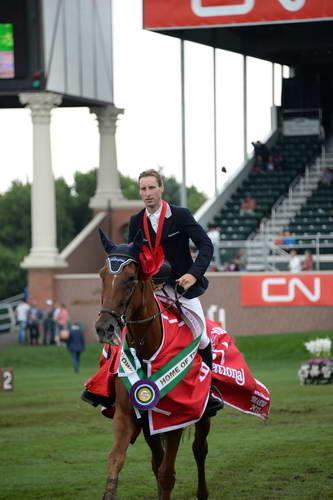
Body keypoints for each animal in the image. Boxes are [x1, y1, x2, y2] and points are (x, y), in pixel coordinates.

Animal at [94, 230, 213, 500]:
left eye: (130, 278)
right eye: (102, 275)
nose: (105, 328)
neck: (147, 349)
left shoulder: (175, 421)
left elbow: (167, 475)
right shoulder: (127, 417)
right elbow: (115, 461)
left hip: (203, 417)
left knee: (199, 450)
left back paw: (202, 492)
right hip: (148, 428)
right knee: (156, 460)